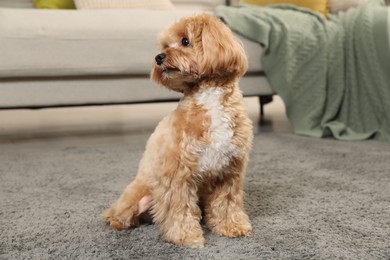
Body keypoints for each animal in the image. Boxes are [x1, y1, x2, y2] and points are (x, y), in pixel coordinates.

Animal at [102, 13, 253, 248]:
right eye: (165, 45)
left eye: (185, 41)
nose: (158, 57)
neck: (209, 99)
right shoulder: (177, 174)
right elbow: (180, 209)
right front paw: (186, 236)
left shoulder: (229, 172)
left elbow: (226, 203)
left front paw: (231, 226)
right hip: (138, 193)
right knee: (116, 213)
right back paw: (119, 221)